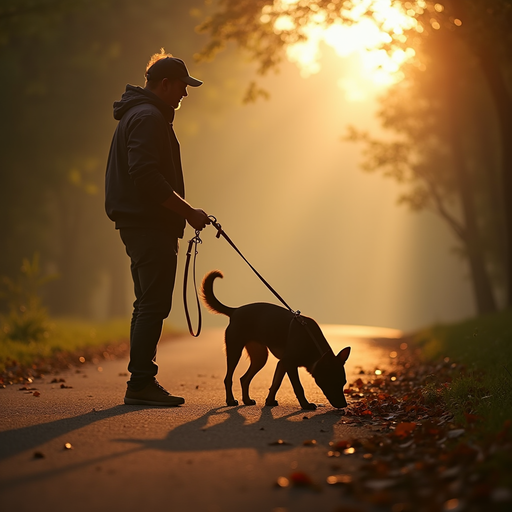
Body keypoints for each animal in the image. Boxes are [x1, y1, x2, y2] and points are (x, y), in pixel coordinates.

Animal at [201, 270, 352, 410]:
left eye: (343, 382)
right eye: (332, 382)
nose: (344, 405)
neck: (311, 342)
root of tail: (235, 311)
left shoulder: (282, 363)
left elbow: (276, 383)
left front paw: (269, 401)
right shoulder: (289, 363)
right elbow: (298, 387)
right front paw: (305, 405)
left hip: (260, 357)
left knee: (244, 378)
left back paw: (247, 400)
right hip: (234, 351)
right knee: (228, 378)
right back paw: (230, 401)